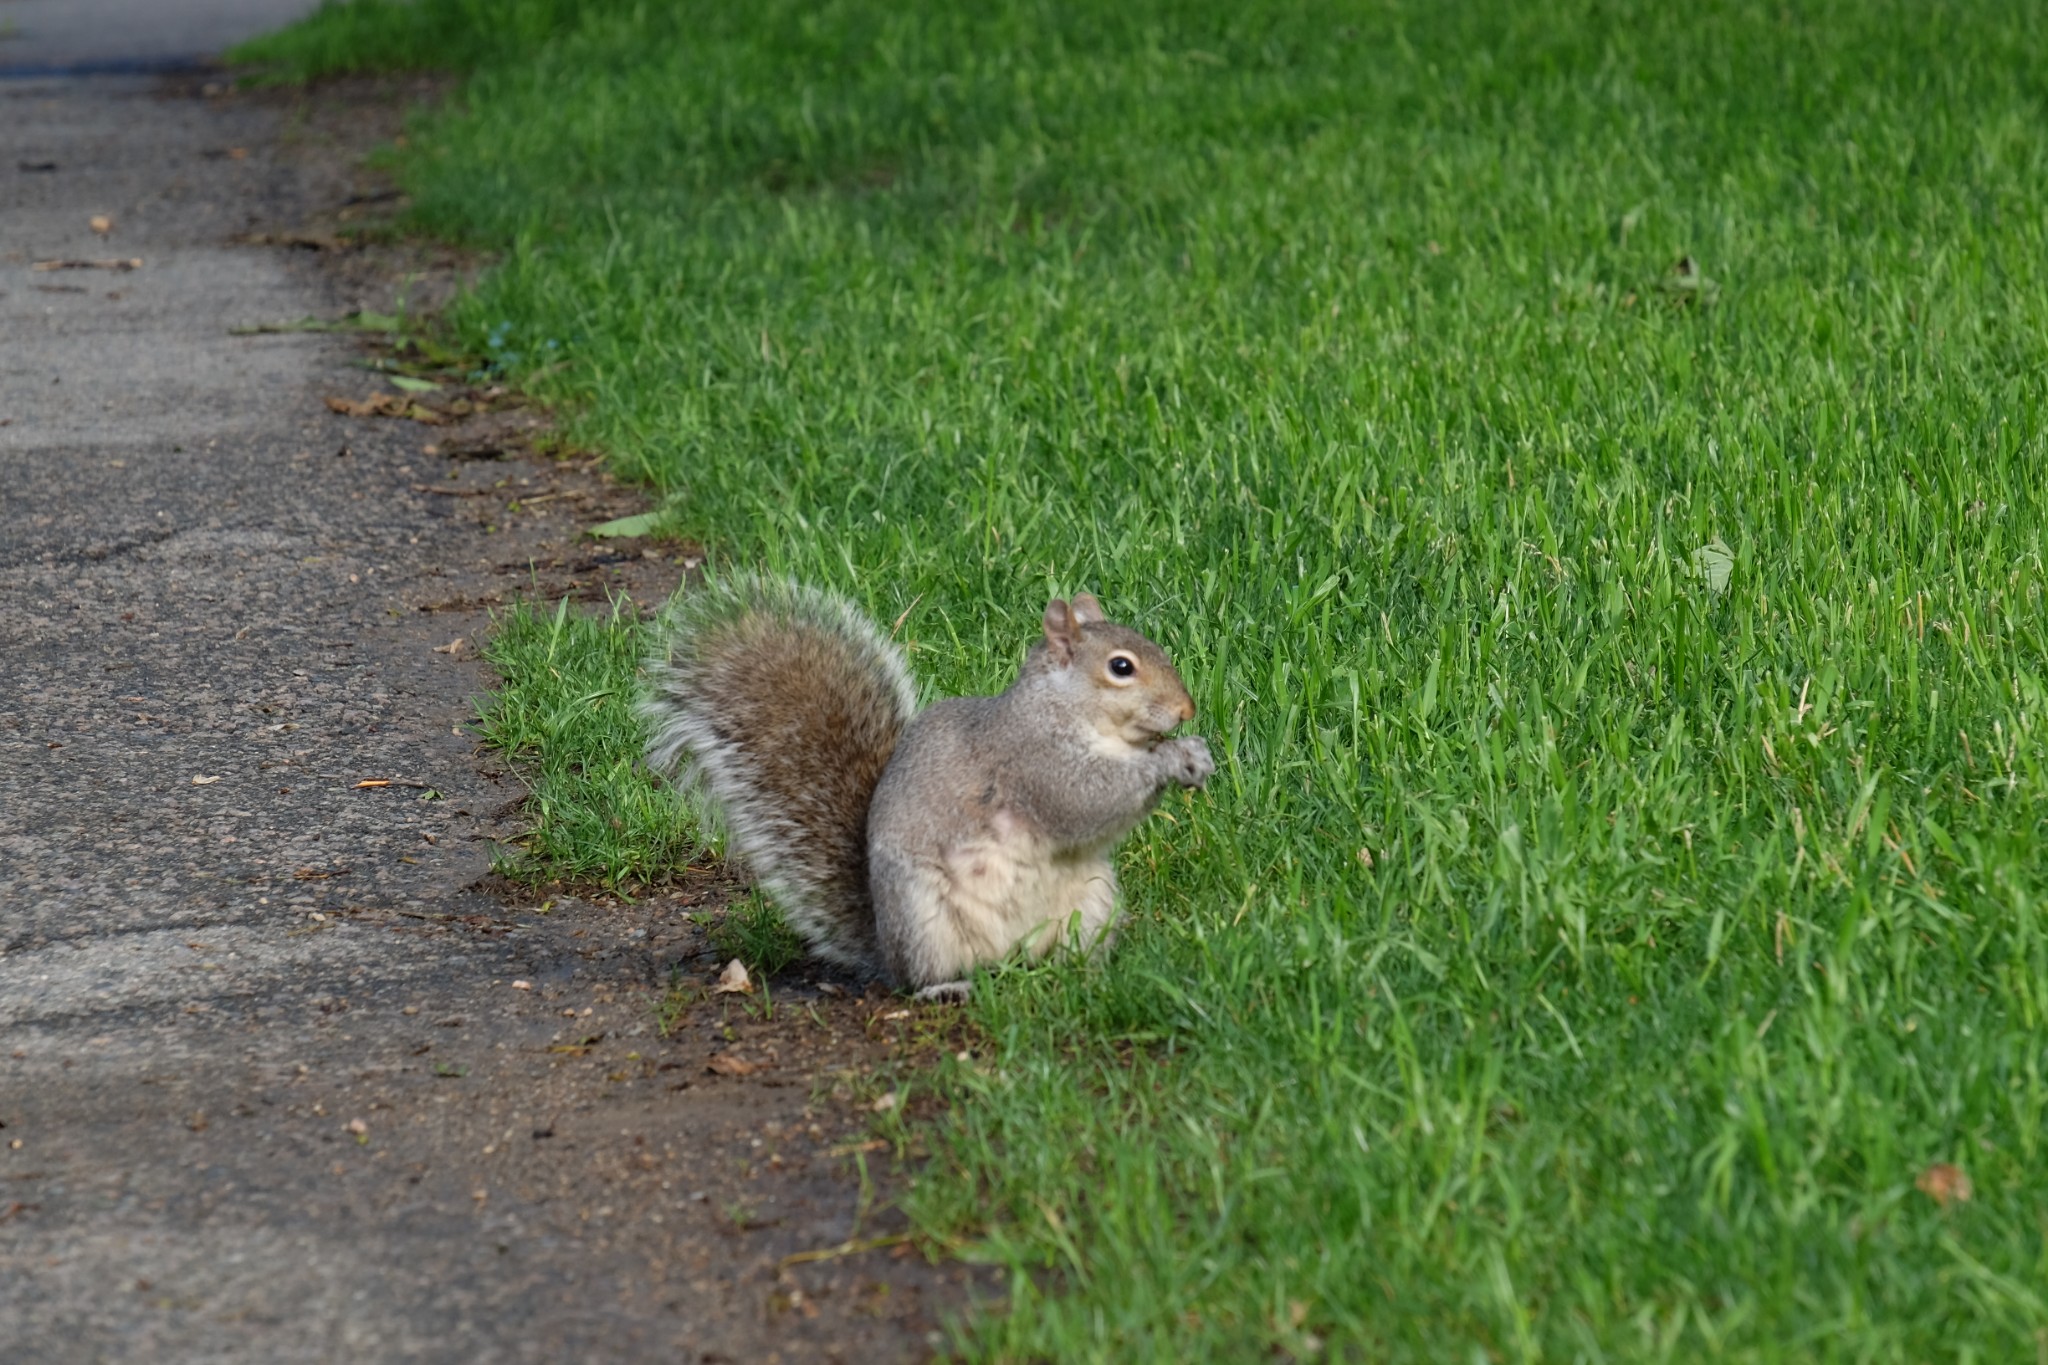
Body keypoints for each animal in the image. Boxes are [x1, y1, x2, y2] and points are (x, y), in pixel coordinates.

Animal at [638, 577, 1212, 1002]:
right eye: (1121, 667)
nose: (1187, 709)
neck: (1066, 711)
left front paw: (1194, 753)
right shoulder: (1032, 763)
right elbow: (1086, 801)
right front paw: (1172, 758)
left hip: (1091, 903)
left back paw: (1089, 975)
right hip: (923, 919)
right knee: (918, 980)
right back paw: (945, 988)